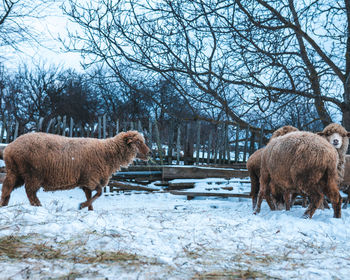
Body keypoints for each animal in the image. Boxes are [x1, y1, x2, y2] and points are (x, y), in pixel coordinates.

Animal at [0, 130, 150, 209]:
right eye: (138, 142)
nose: (150, 153)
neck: (108, 153)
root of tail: (9, 148)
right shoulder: (91, 177)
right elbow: (99, 193)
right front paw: (82, 205)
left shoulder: (86, 180)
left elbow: (91, 195)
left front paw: (89, 209)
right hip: (33, 173)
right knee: (30, 192)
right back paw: (38, 206)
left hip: (15, 171)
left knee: (7, 187)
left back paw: (4, 204)